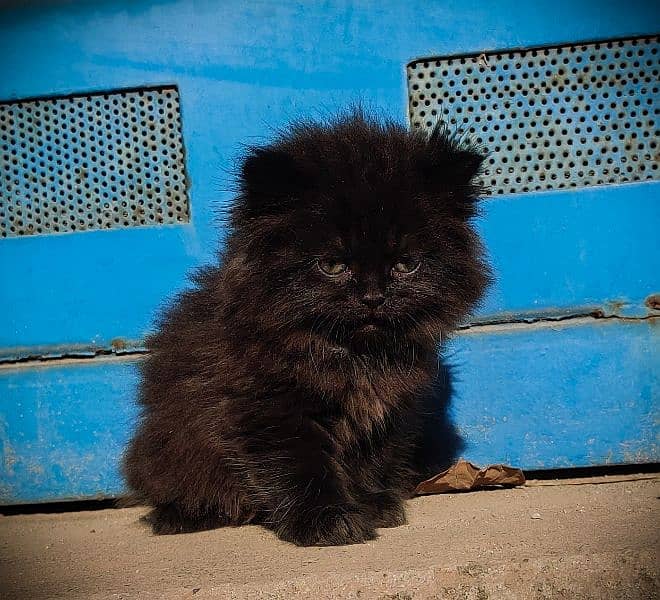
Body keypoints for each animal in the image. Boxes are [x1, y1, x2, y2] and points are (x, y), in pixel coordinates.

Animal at [126, 112, 492, 548]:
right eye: (332, 265)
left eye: (405, 264)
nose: (373, 296)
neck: (355, 356)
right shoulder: (271, 411)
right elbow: (300, 469)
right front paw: (328, 522)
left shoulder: (388, 413)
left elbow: (372, 461)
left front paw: (372, 505)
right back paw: (186, 515)